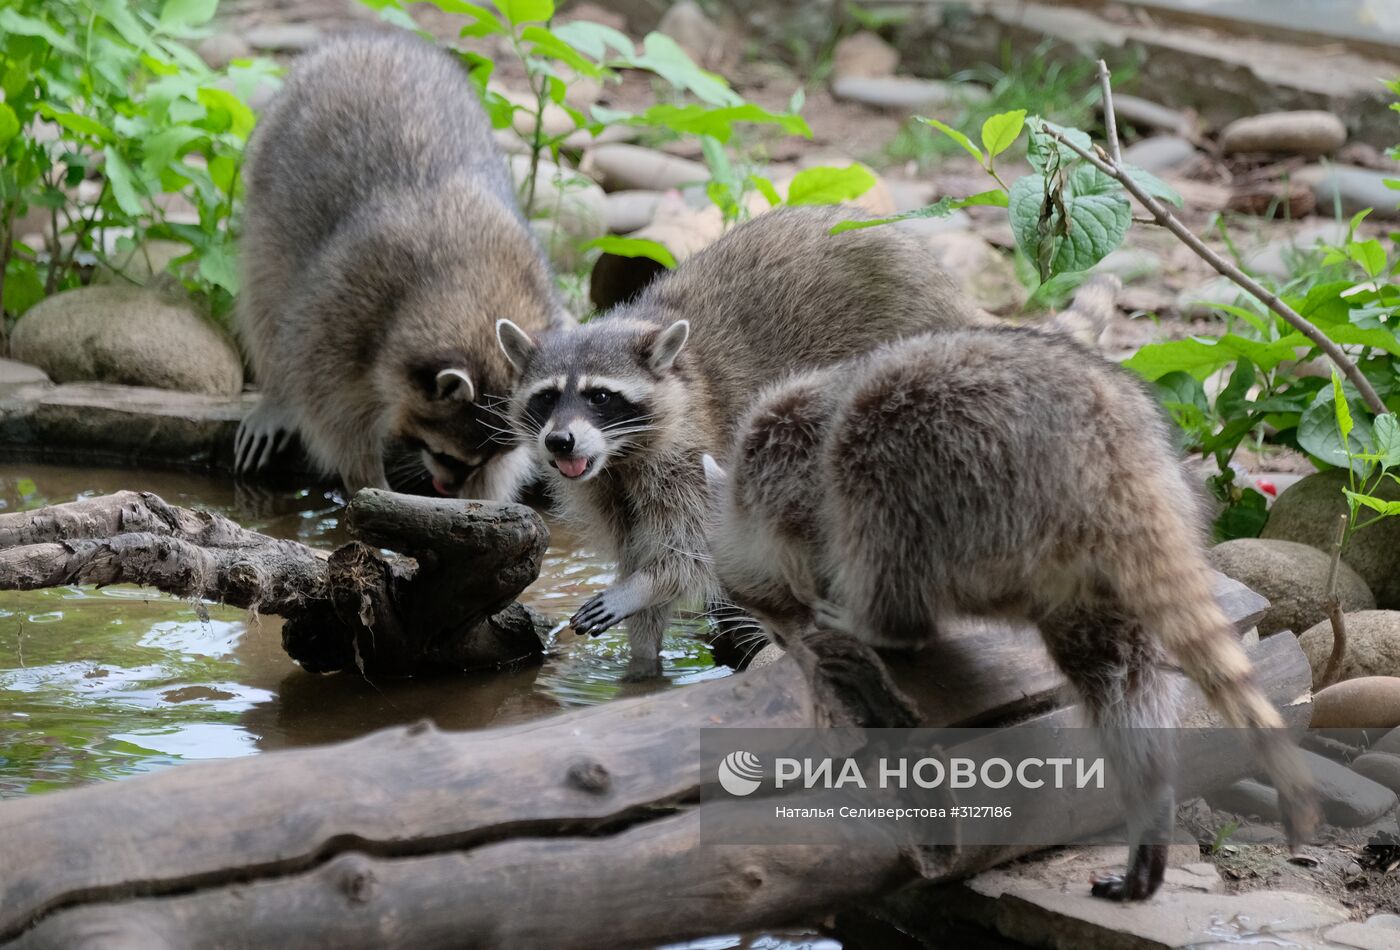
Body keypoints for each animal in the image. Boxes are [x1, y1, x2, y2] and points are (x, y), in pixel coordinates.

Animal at [235, 32, 568, 500]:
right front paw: (365, 477)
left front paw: (483, 501)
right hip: (268, 189)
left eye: (486, 460)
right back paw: (276, 395)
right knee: (264, 296)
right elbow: (328, 407)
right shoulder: (342, 310)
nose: (445, 487)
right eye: (446, 454)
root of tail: (374, 38)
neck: (474, 287)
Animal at [498, 205, 991, 682]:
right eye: (546, 397)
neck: (620, 458)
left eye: (599, 397)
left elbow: (693, 550)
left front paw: (642, 588)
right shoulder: (608, 492)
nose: (559, 442)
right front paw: (643, 661)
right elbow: (639, 554)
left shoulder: (694, 452)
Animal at [705, 292, 1316, 906]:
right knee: (1118, 674)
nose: (785, 642)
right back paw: (1149, 805)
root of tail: (1115, 455)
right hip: (1083, 561)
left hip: (949, 445)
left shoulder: (789, 455)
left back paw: (885, 621)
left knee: (871, 482)